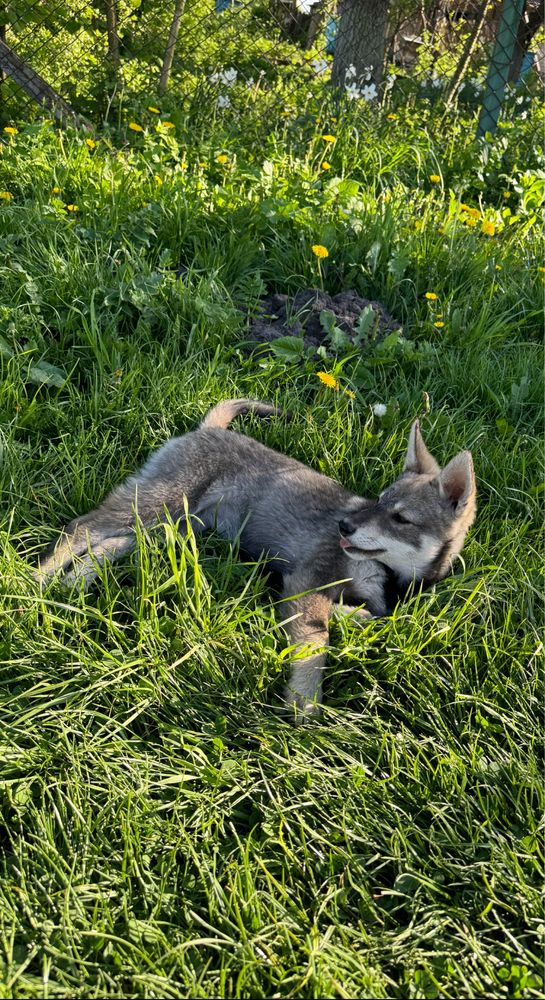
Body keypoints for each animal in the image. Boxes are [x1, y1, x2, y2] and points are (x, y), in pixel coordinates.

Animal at [37, 398, 476, 720]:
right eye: (380, 501)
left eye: (400, 518)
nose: (344, 526)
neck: (390, 575)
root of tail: (209, 429)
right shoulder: (307, 581)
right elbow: (317, 641)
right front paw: (305, 701)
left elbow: (363, 619)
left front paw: (352, 619)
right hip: (155, 506)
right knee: (81, 529)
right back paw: (37, 581)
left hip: (169, 528)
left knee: (107, 546)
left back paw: (73, 584)